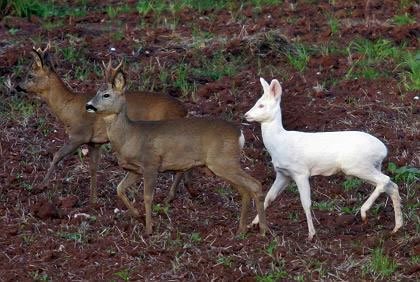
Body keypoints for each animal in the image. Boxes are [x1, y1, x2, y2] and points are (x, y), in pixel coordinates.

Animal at [17, 44, 192, 203]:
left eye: (30, 75)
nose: (18, 87)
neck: (67, 107)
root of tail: (184, 109)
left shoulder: (79, 134)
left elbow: (57, 155)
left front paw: (41, 186)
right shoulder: (93, 142)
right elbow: (93, 168)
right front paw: (93, 200)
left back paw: (170, 197)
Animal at [86, 68, 270, 236]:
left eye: (106, 95)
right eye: (96, 92)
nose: (88, 105)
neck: (129, 137)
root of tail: (240, 134)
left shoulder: (151, 163)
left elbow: (147, 197)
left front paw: (148, 229)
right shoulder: (135, 169)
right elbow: (119, 189)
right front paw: (138, 216)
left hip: (224, 162)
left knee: (255, 184)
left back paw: (263, 230)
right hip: (222, 165)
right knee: (245, 190)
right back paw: (241, 229)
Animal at [246, 77, 404, 240]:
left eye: (261, 105)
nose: (246, 115)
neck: (279, 143)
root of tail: (383, 150)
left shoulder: (300, 172)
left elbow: (306, 203)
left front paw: (311, 234)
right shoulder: (283, 173)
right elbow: (268, 197)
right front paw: (252, 224)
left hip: (357, 165)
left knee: (385, 180)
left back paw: (364, 212)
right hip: (369, 166)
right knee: (391, 185)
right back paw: (397, 227)